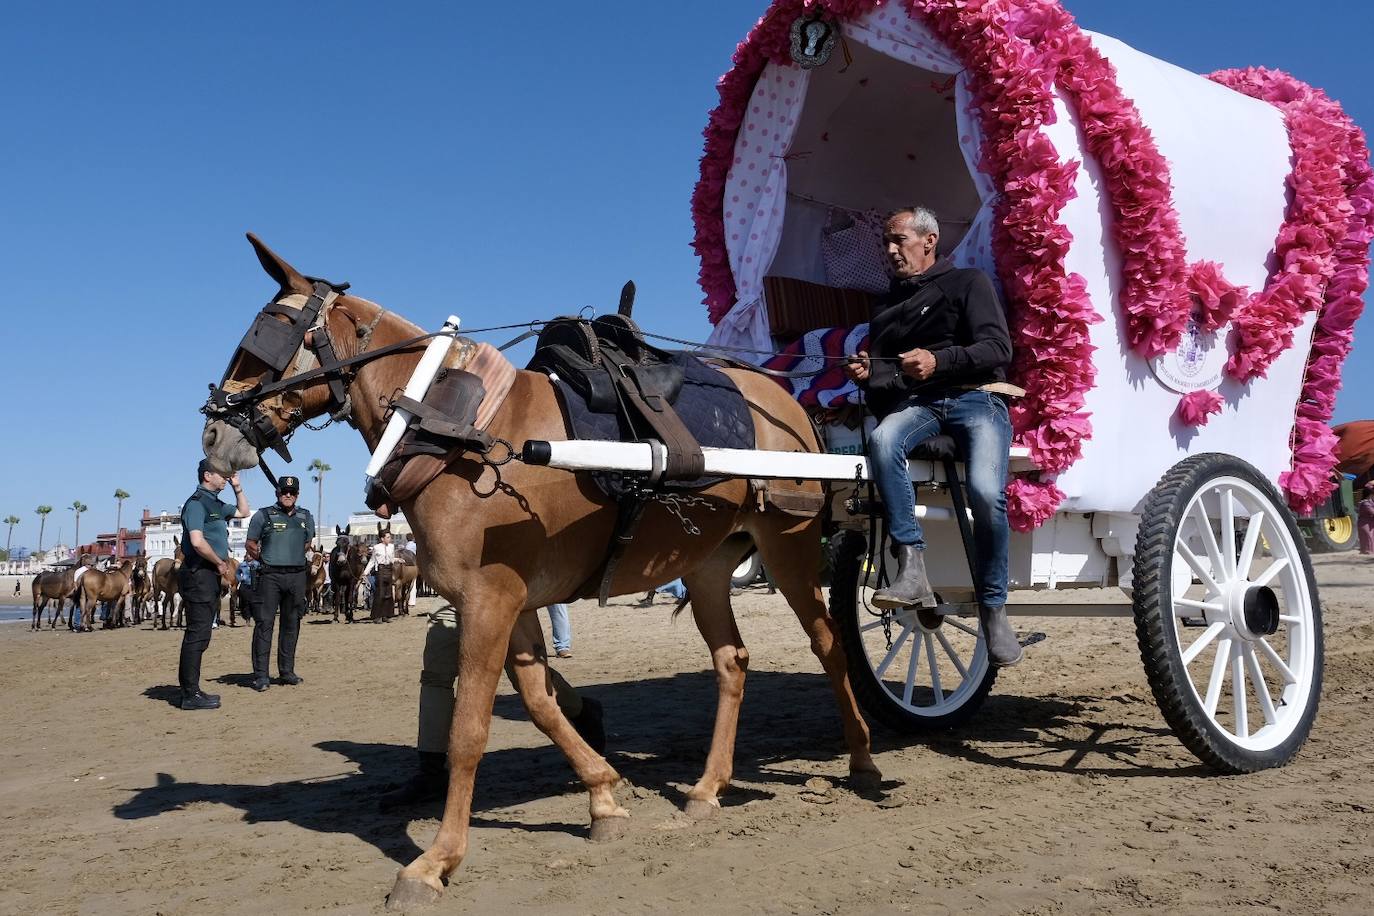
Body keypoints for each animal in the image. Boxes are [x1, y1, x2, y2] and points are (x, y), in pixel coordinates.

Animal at [199, 236, 873, 911]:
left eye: (266, 330)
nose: (211, 431)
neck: (459, 432)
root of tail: (786, 403)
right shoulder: (514, 602)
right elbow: (539, 701)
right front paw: (603, 796)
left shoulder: (488, 597)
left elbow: (470, 729)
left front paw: (436, 861)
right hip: (706, 568)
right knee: (732, 661)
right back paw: (709, 786)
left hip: (788, 546)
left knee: (829, 644)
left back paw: (863, 758)